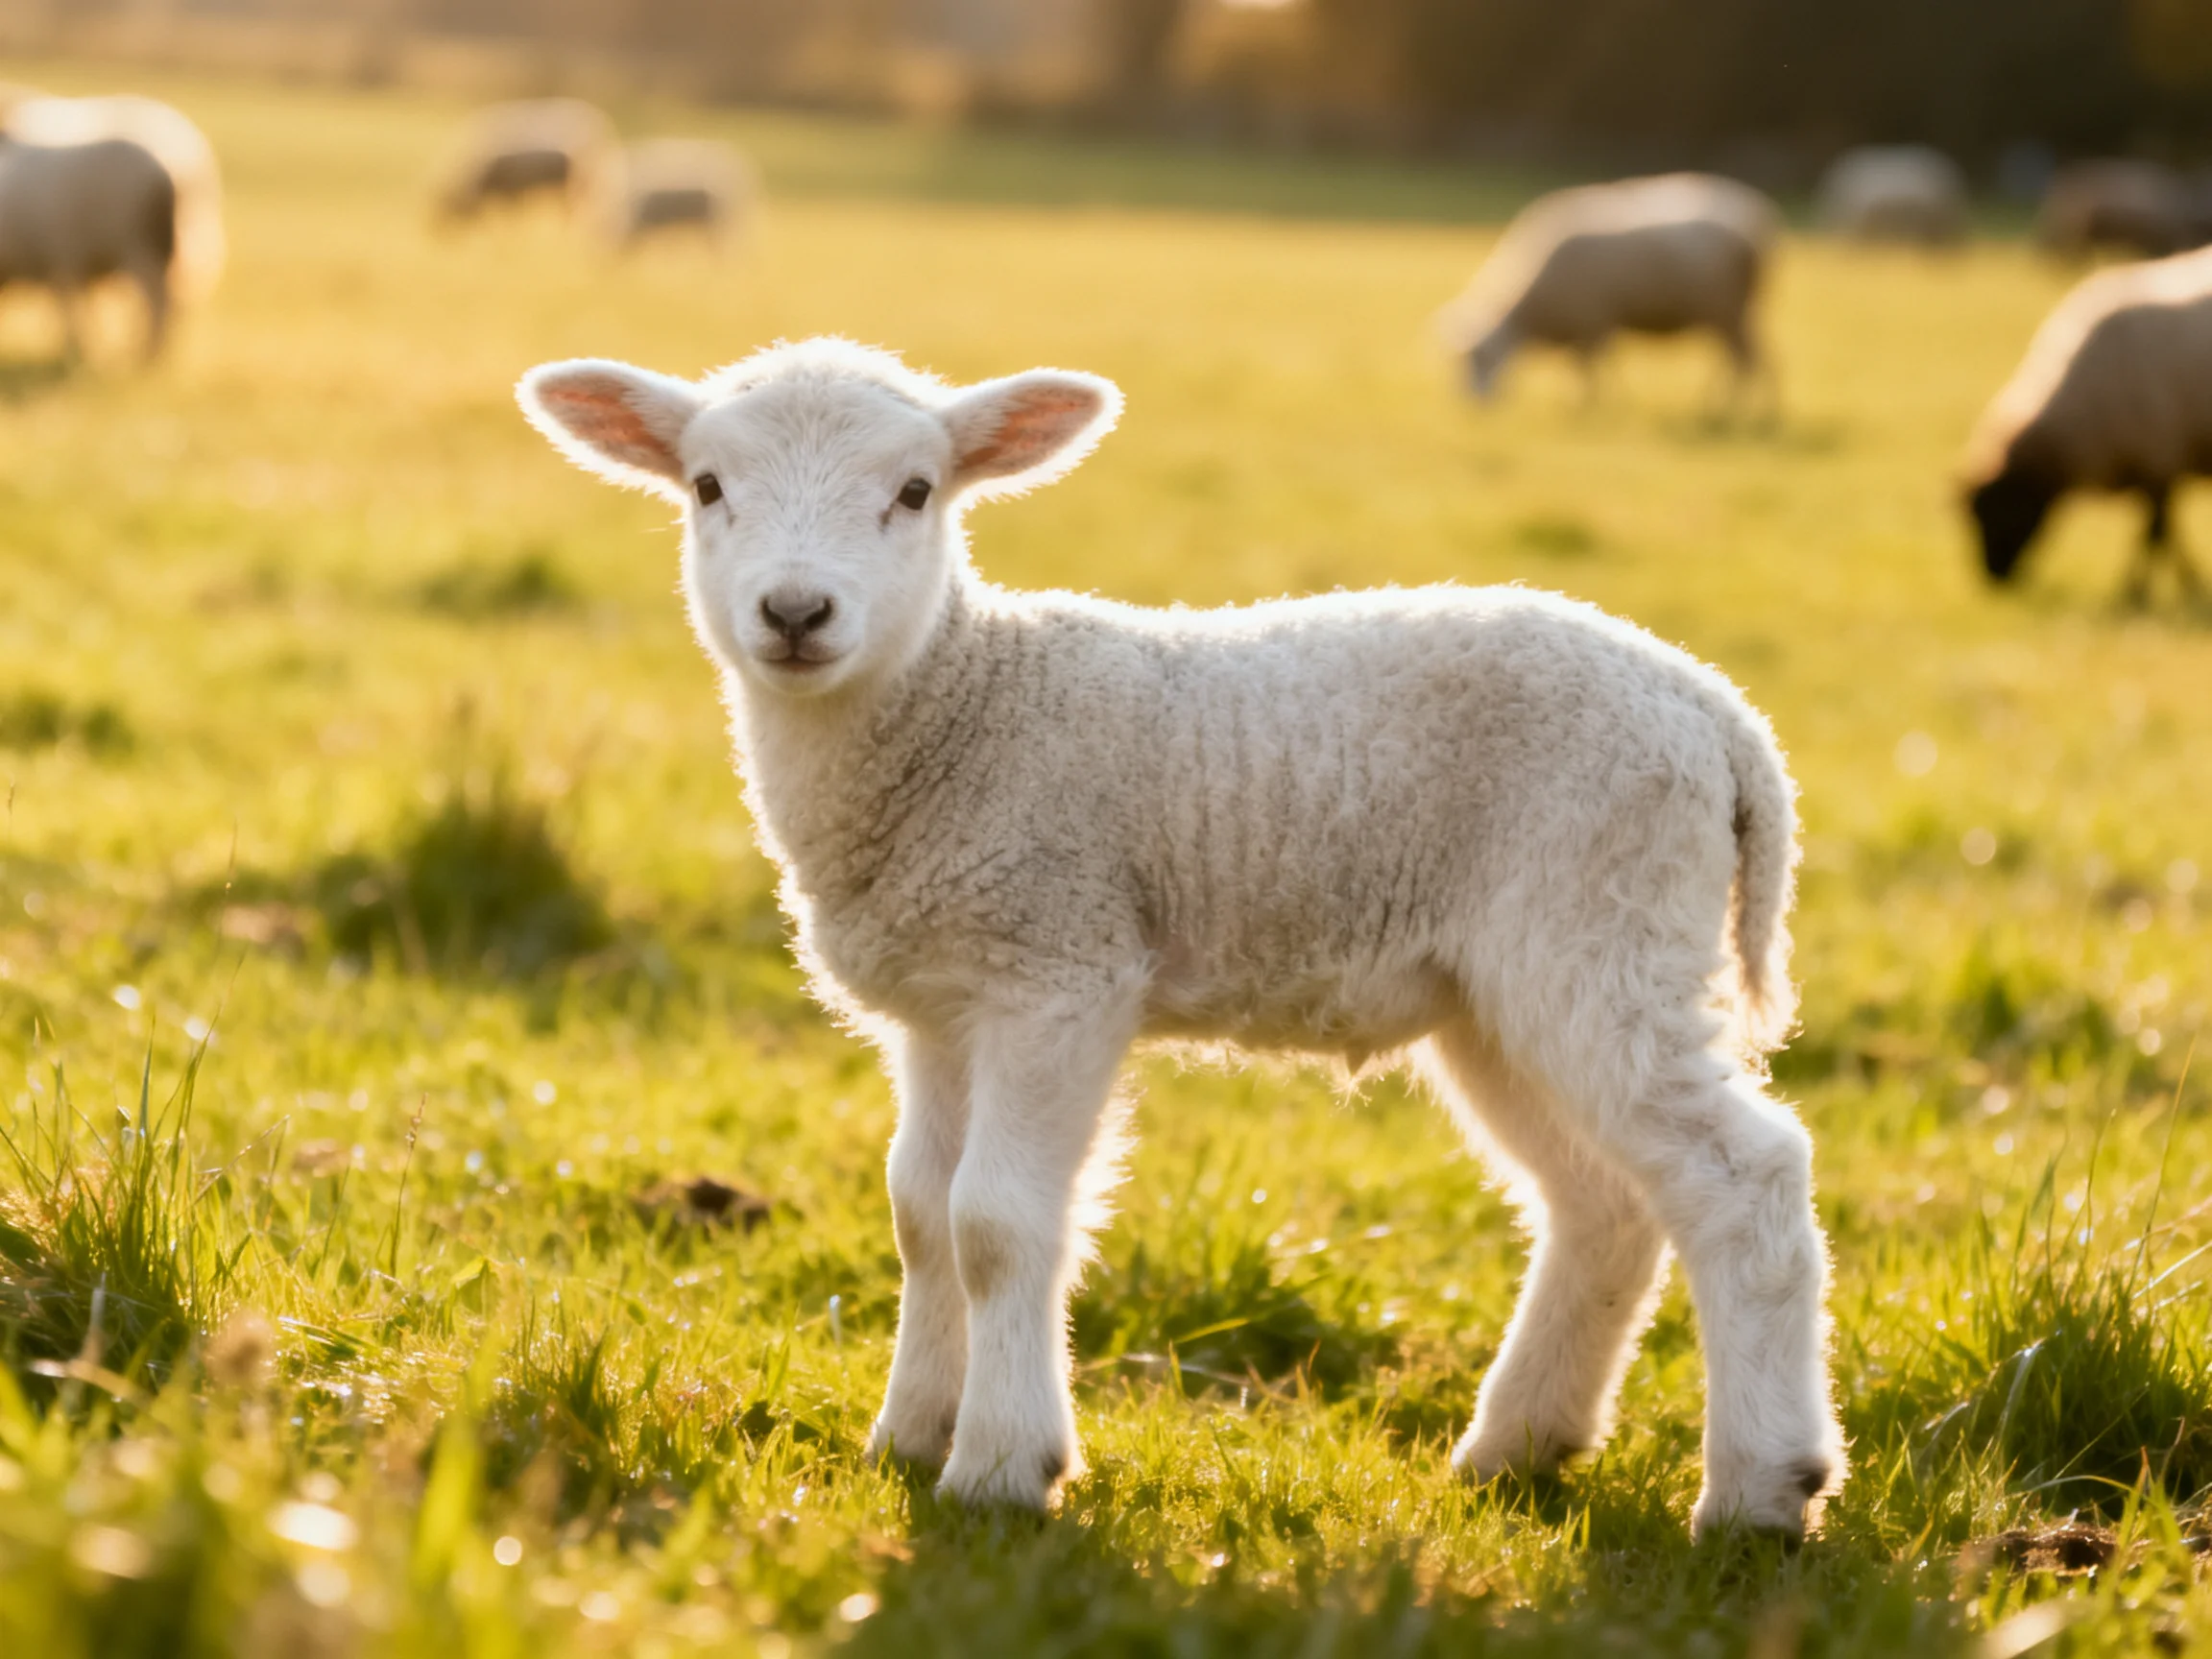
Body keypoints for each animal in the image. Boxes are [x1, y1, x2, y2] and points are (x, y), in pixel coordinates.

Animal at [0, 136, 176, 361]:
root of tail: (161, 175)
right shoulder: (71, 268)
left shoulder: (63, 265)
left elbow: (72, 313)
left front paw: (77, 352)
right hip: (152, 251)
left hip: (139, 249)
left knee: (157, 302)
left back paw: (149, 354)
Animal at [515, 336, 1844, 1539]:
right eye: (706, 486)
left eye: (916, 491)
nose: (796, 612)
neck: (960, 707)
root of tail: (1717, 715)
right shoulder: (944, 1003)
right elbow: (919, 1212)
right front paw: (908, 1435)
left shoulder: (1059, 969)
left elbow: (994, 1223)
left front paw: (1001, 1468)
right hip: (1505, 989)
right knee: (1604, 1205)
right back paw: (1517, 1449)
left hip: (1601, 925)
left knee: (1745, 1176)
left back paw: (1759, 1492)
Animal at [1441, 172, 1779, 413]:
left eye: (1483, 357)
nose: (1475, 406)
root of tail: (1756, 219)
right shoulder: (1598, 325)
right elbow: (1602, 366)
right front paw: (1610, 402)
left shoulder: (1590, 322)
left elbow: (1589, 370)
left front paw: (1587, 405)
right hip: (1732, 310)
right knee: (1748, 358)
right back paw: (1736, 411)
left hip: (1726, 308)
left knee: (1746, 360)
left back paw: (1733, 412)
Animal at [1961, 245, 2212, 600]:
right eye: (1974, 520)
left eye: (2002, 514)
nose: (1994, 578)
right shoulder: (2159, 467)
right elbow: (2167, 533)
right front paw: (2183, 586)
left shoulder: (2159, 461)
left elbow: (2155, 535)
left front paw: (2137, 592)